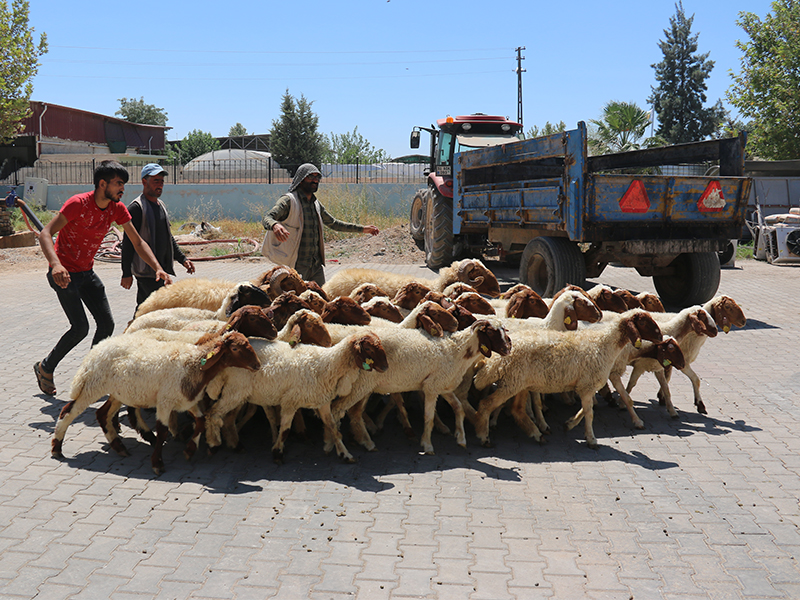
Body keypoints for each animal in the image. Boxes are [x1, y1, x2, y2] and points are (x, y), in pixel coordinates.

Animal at [50, 330, 262, 476]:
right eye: (235, 348)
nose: (257, 365)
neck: (194, 366)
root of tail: (98, 347)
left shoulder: (187, 400)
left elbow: (201, 422)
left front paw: (189, 450)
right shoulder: (165, 402)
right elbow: (162, 432)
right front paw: (157, 464)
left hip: (119, 392)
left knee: (102, 414)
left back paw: (119, 447)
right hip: (92, 386)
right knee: (68, 411)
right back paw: (57, 448)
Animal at [205, 330, 390, 462]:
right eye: (369, 348)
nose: (385, 367)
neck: (328, 365)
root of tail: (224, 363)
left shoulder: (321, 401)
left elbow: (333, 428)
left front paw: (345, 454)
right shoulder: (290, 401)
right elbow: (286, 429)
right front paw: (278, 452)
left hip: (238, 394)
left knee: (226, 418)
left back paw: (233, 444)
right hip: (235, 391)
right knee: (213, 413)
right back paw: (213, 444)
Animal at [468, 312, 664, 448]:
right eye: (643, 322)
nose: (661, 337)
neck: (604, 344)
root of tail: (495, 360)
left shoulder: (586, 385)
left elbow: (586, 409)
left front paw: (569, 425)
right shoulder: (587, 385)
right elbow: (589, 412)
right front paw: (591, 440)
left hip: (518, 382)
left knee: (517, 410)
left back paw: (537, 434)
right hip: (511, 382)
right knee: (486, 404)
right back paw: (484, 437)